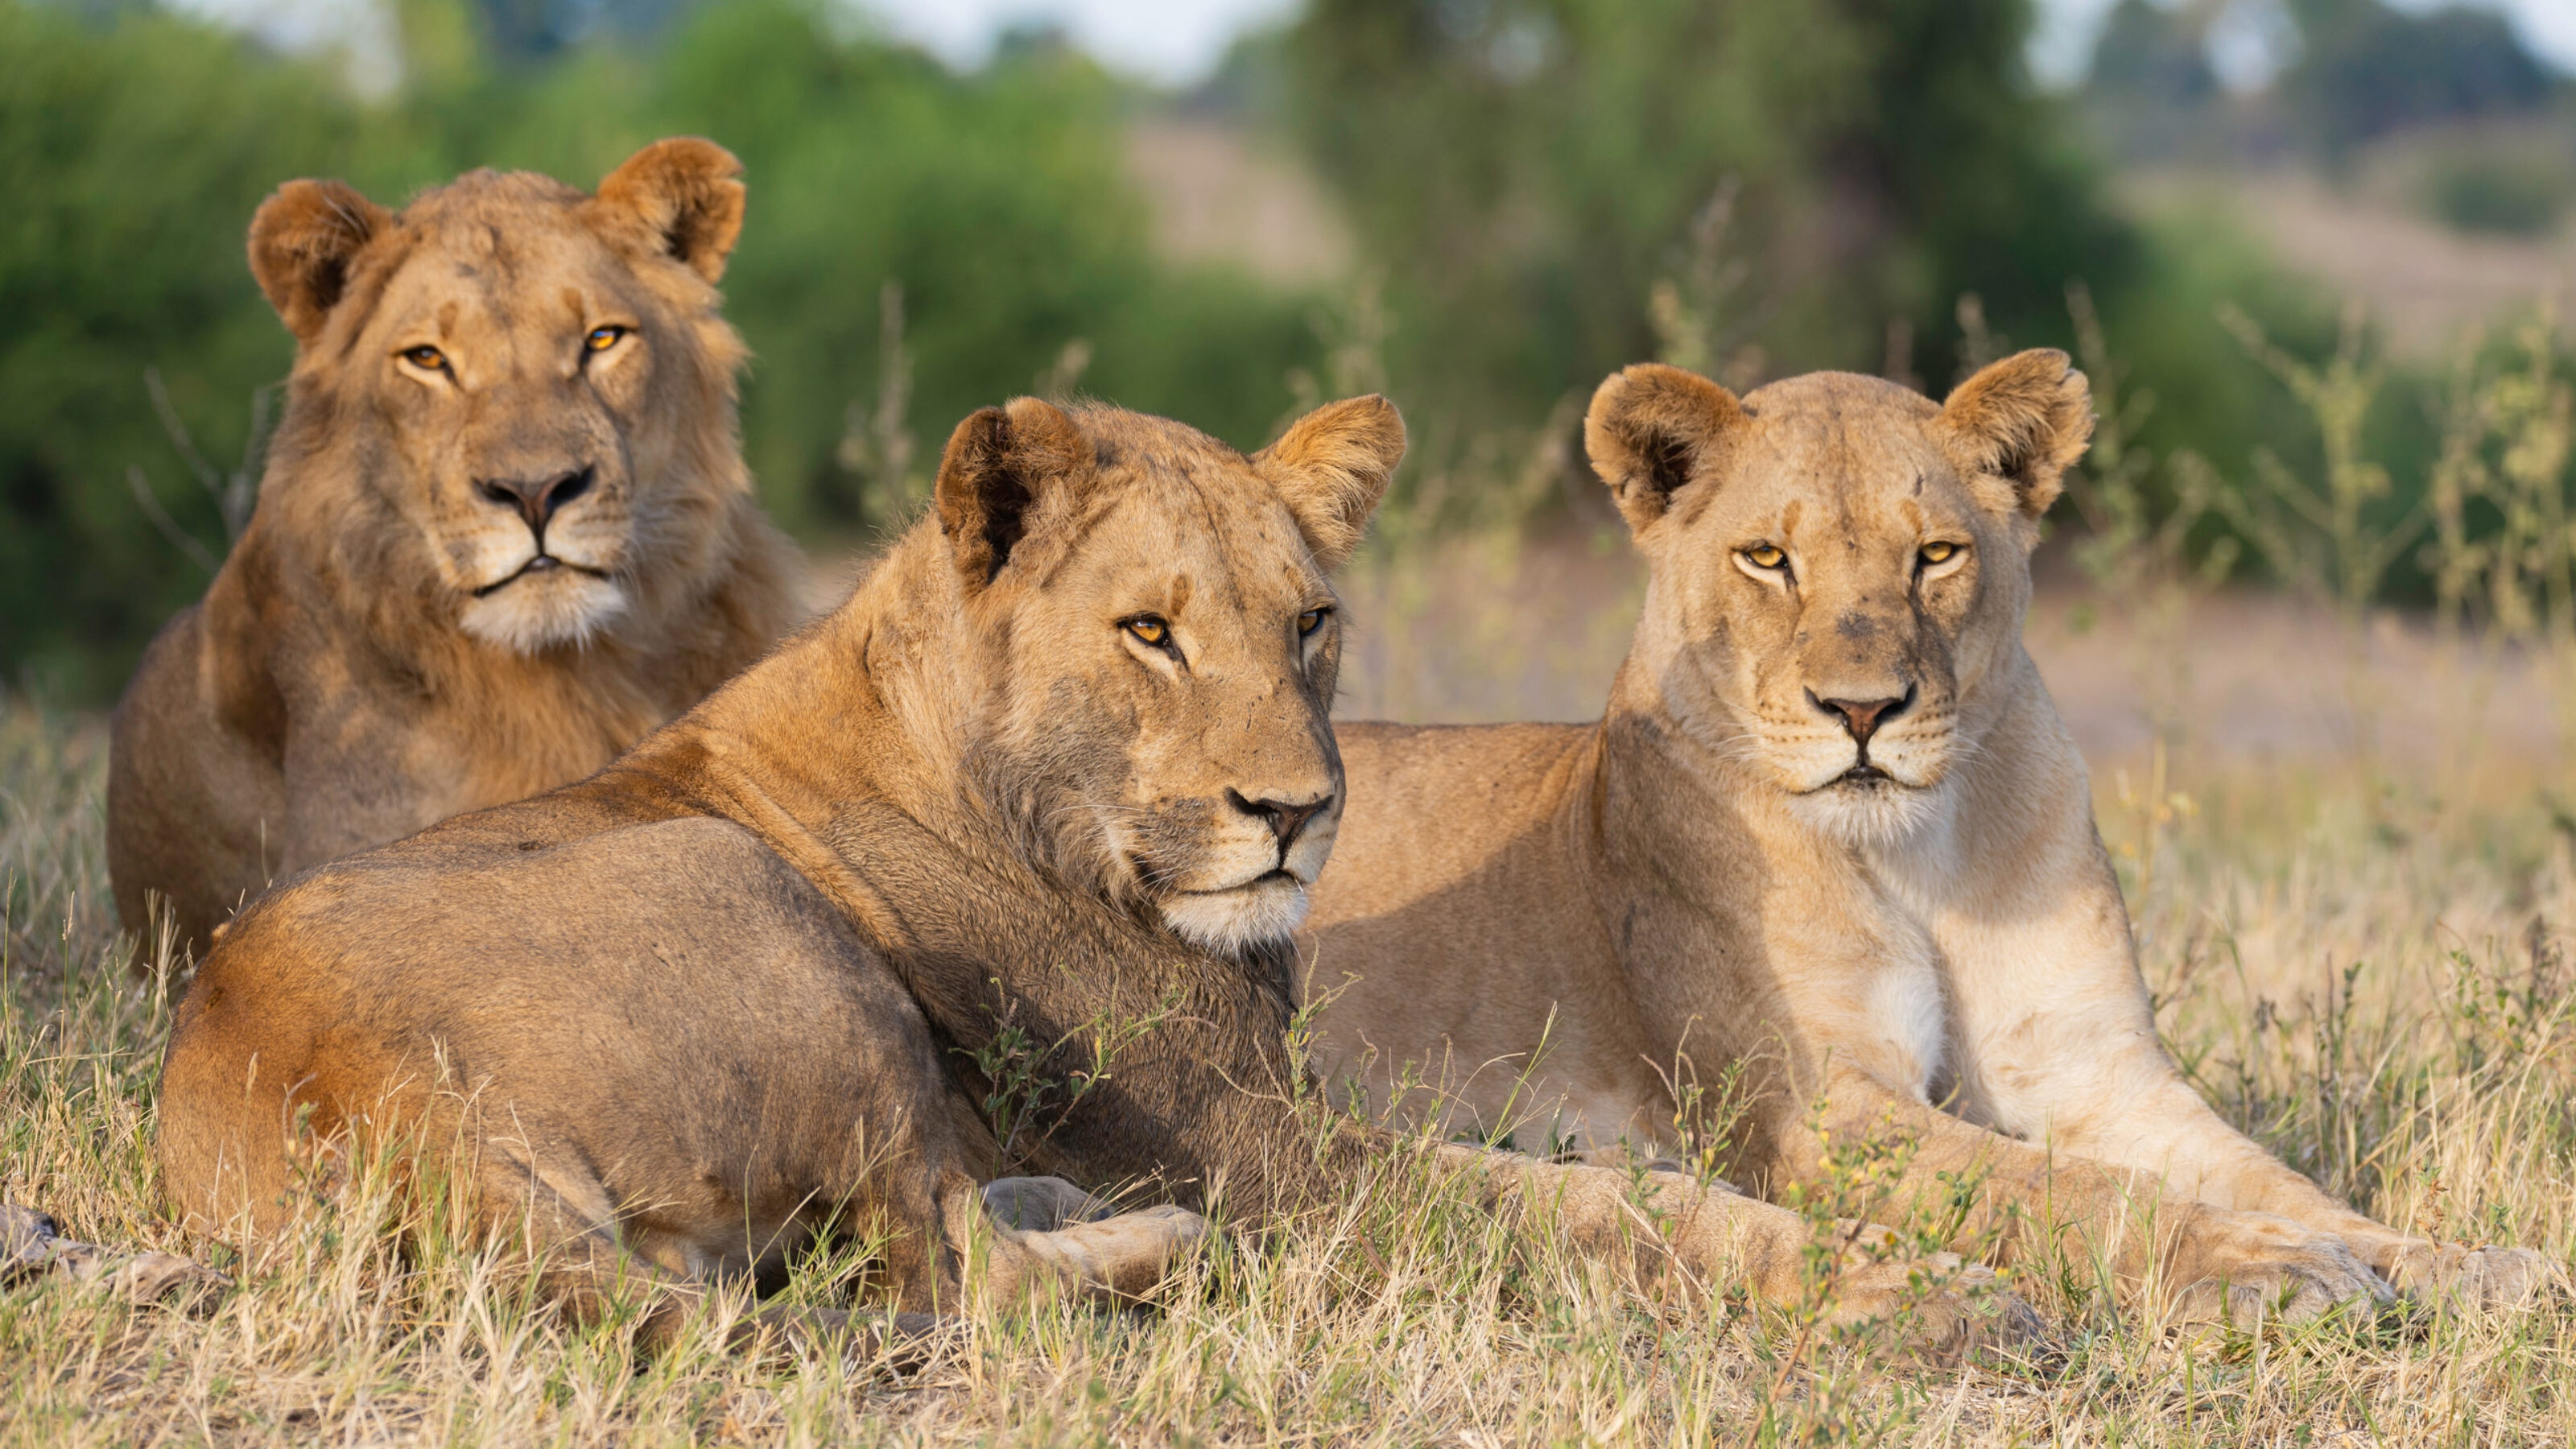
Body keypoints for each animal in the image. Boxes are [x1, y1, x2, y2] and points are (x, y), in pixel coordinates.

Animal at [155, 394, 2031, 1355]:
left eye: (1311, 622)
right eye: (1150, 633)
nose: (1296, 814)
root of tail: (369, 1083)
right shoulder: (1280, 1157)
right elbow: (1607, 1206)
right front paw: (1921, 1293)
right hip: (760, 917)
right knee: (947, 1275)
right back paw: (1141, 1243)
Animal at [1304, 353, 2550, 1319]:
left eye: (1934, 555)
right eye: (1767, 559)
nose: (1862, 711)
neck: (1918, 859)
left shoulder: (2096, 1074)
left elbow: (2270, 1178)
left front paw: (2462, 1263)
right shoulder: (1822, 1113)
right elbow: (2070, 1193)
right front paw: (2272, 1269)